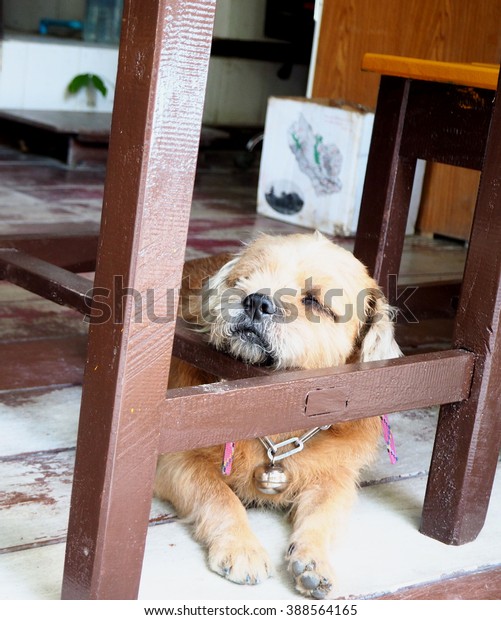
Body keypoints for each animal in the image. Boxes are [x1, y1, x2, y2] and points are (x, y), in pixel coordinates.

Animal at [154, 230, 400, 600]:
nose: (256, 301)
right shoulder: (176, 461)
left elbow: (322, 516)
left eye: (313, 301)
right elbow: (221, 496)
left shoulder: (336, 479)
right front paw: (242, 547)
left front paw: (313, 559)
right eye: (243, 280)